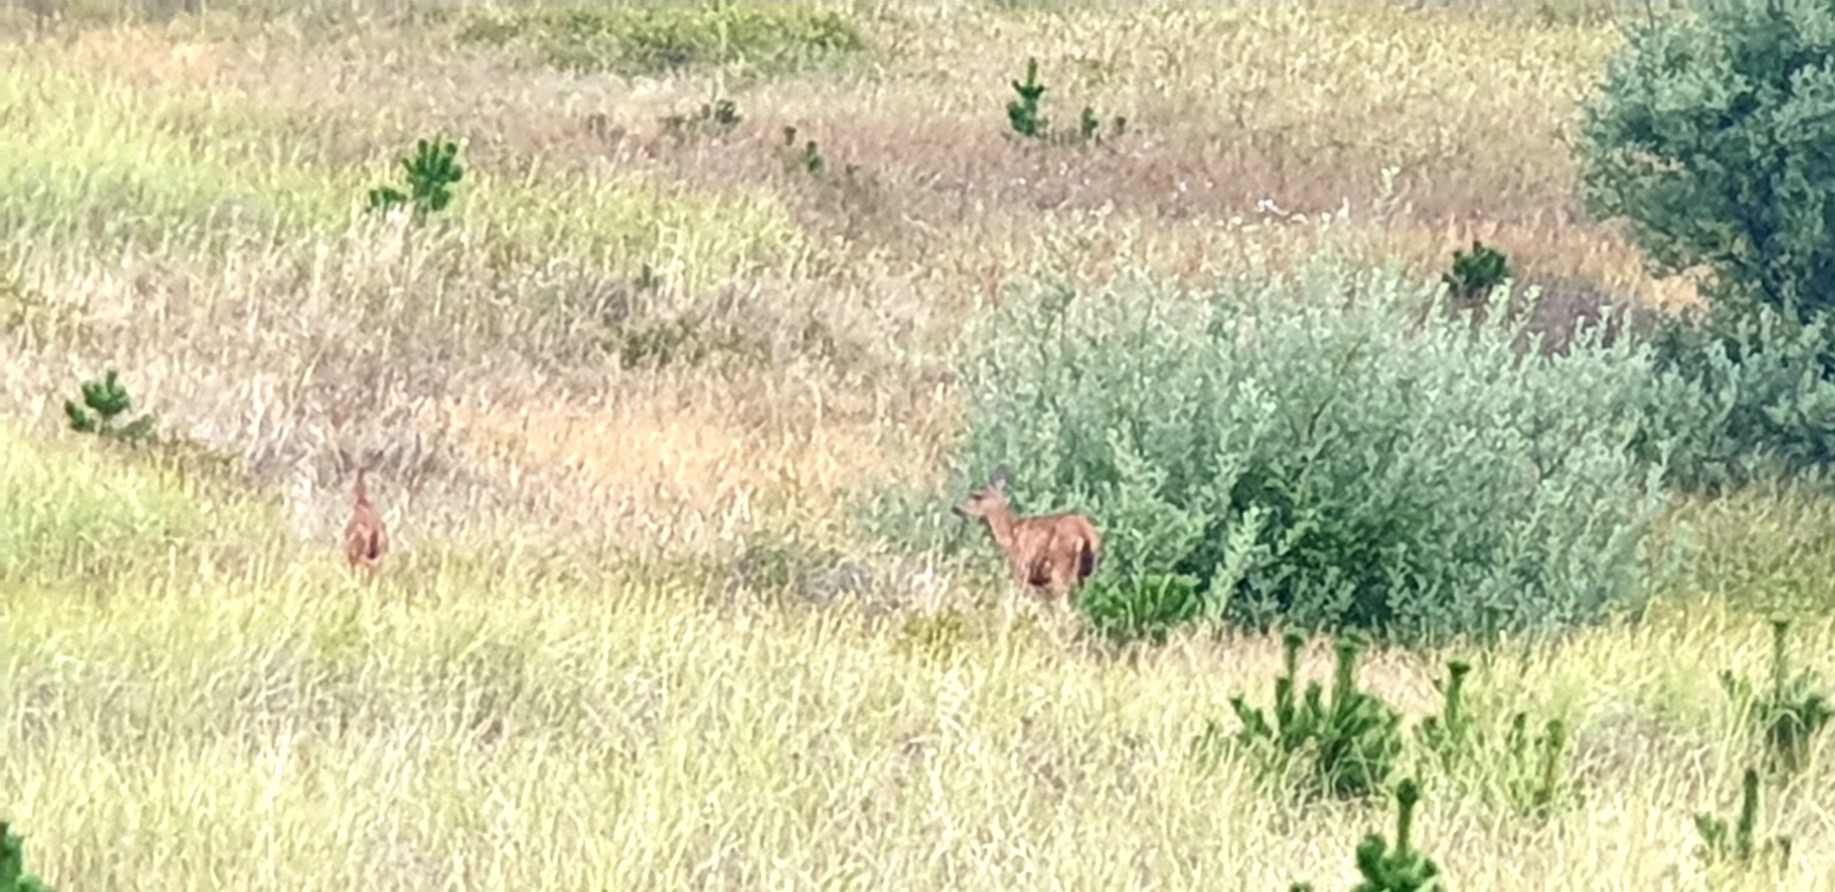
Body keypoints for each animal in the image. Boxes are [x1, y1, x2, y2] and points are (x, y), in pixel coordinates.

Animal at [952, 465, 1103, 607]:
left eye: (977, 495)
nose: (956, 508)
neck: (1010, 534)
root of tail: (1085, 533)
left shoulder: (1022, 568)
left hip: (1060, 568)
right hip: (1086, 575)